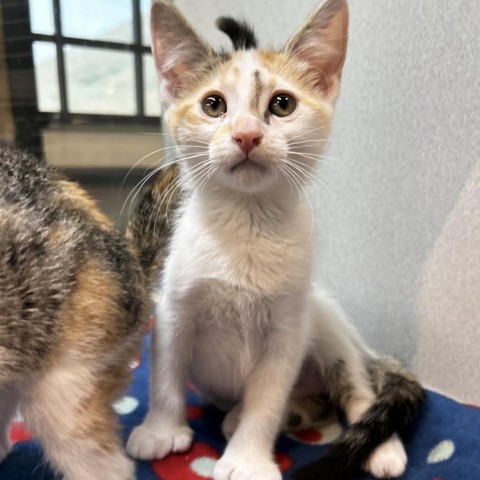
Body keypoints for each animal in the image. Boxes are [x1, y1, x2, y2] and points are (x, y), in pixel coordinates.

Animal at [126, 0, 424, 480]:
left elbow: (266, 399)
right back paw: (278, 414)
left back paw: (381, 448)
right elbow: (165, 374)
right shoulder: (173, 309)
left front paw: (247, 460)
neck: (247, 225)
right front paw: (160, 431)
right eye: (213, 104)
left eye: (282, 104)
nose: (247, 134)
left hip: (326, 325)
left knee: (357, 388)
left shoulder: (287, 329)